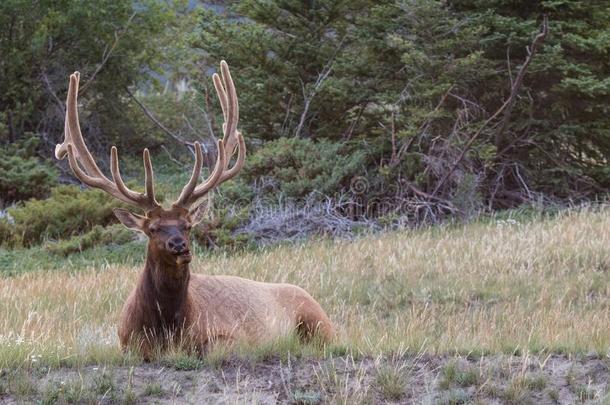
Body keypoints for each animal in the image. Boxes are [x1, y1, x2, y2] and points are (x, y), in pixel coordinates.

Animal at [55, 60, 332, 356]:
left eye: (187, 226)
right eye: (153, 229)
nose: (180, 246)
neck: (166, 329)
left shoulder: (231, 336)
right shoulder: (127, 343)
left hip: (319, 321)